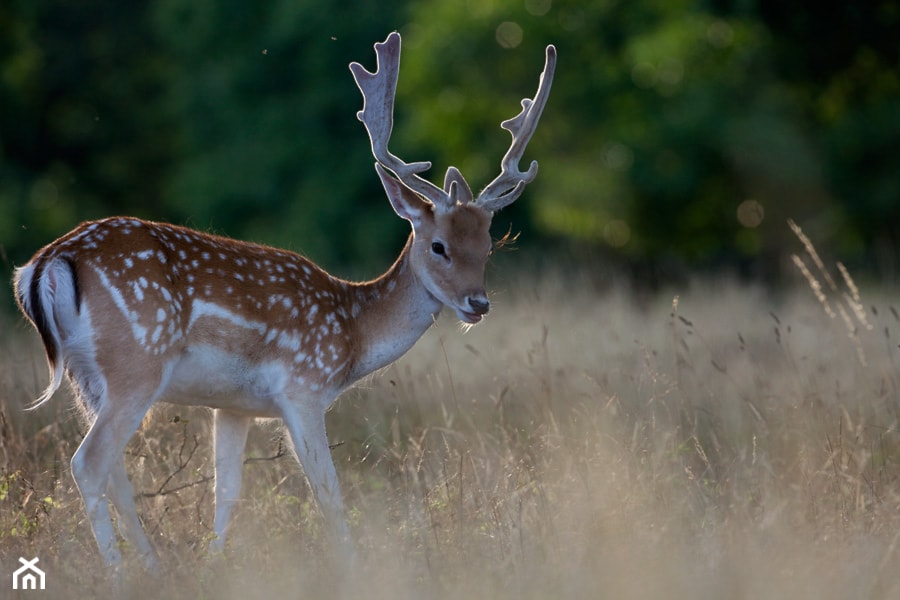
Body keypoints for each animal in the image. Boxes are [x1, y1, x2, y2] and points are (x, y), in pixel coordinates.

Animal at [12, 34, 556, 572]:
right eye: (439, 245)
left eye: (489, 245)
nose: (478, 303)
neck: (351, 331)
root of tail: (45, 263)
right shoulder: (303, 386)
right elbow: (328, 492)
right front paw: (353, 569)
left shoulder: (233, 405)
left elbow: (228, 492)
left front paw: (215, 565)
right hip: (136, 361)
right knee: (89, 463)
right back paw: (121, 574)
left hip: (88, 378)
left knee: (115, 471)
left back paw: (152, 566)